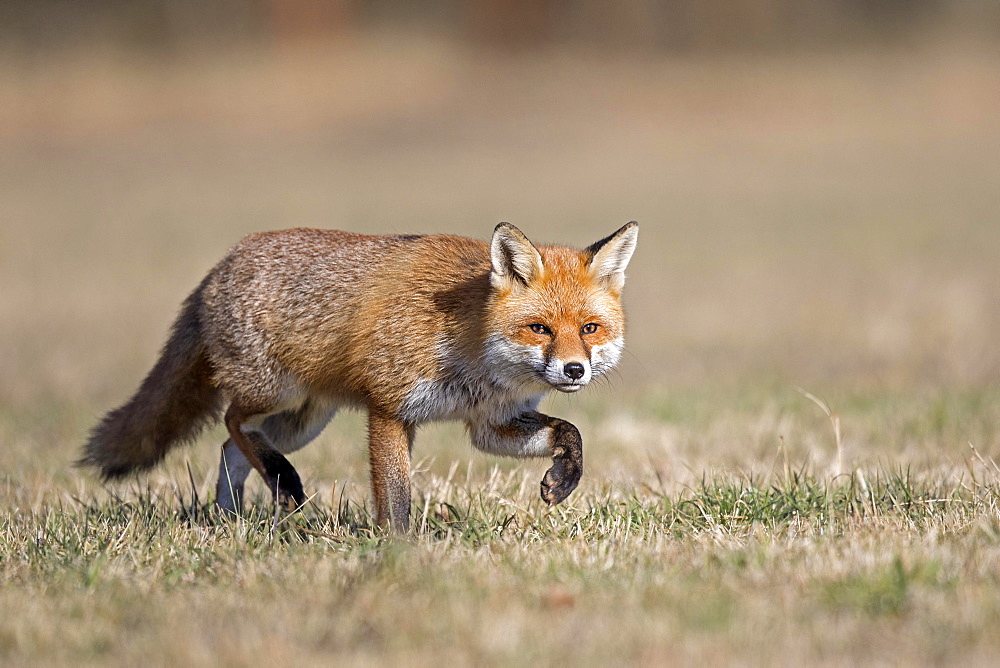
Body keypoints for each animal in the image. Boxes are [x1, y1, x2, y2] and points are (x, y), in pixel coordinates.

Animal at [82, 222, 636, 528]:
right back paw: (278, 483)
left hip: (304, 421)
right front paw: (400, 553)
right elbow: (396, 498)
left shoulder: (490, 422)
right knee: (232, 422)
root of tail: (222, 264)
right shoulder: (390, 409)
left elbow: (570, 433)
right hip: (276, 393)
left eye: (589, 328)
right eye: (539, 328)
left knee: (231, 448)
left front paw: (563, 480)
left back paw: (230, 519)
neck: (472, 349)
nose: (574, 369)